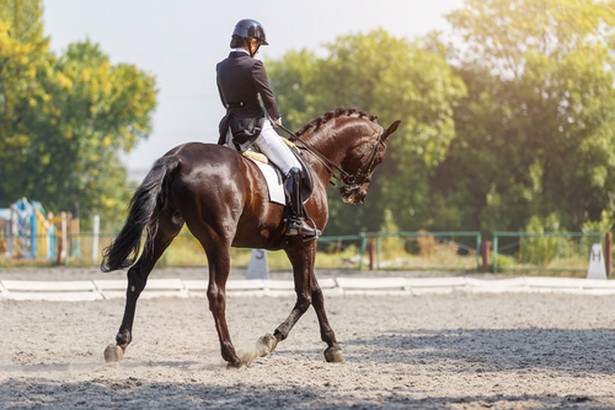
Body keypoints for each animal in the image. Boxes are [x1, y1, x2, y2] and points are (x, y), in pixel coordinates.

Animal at [102, 108, 400, 368]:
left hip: (165, 229)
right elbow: (304, 296)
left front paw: (332, 346)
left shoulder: (299, 245)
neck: (314, 163)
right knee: (216, 293)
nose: (357, 194)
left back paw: (118, 345)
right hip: (218, 240)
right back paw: (233, 356)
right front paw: (269, 340)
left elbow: (316, 293)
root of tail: (178, 157)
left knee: (137, 276)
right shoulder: (306, 243)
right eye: (380, 156)